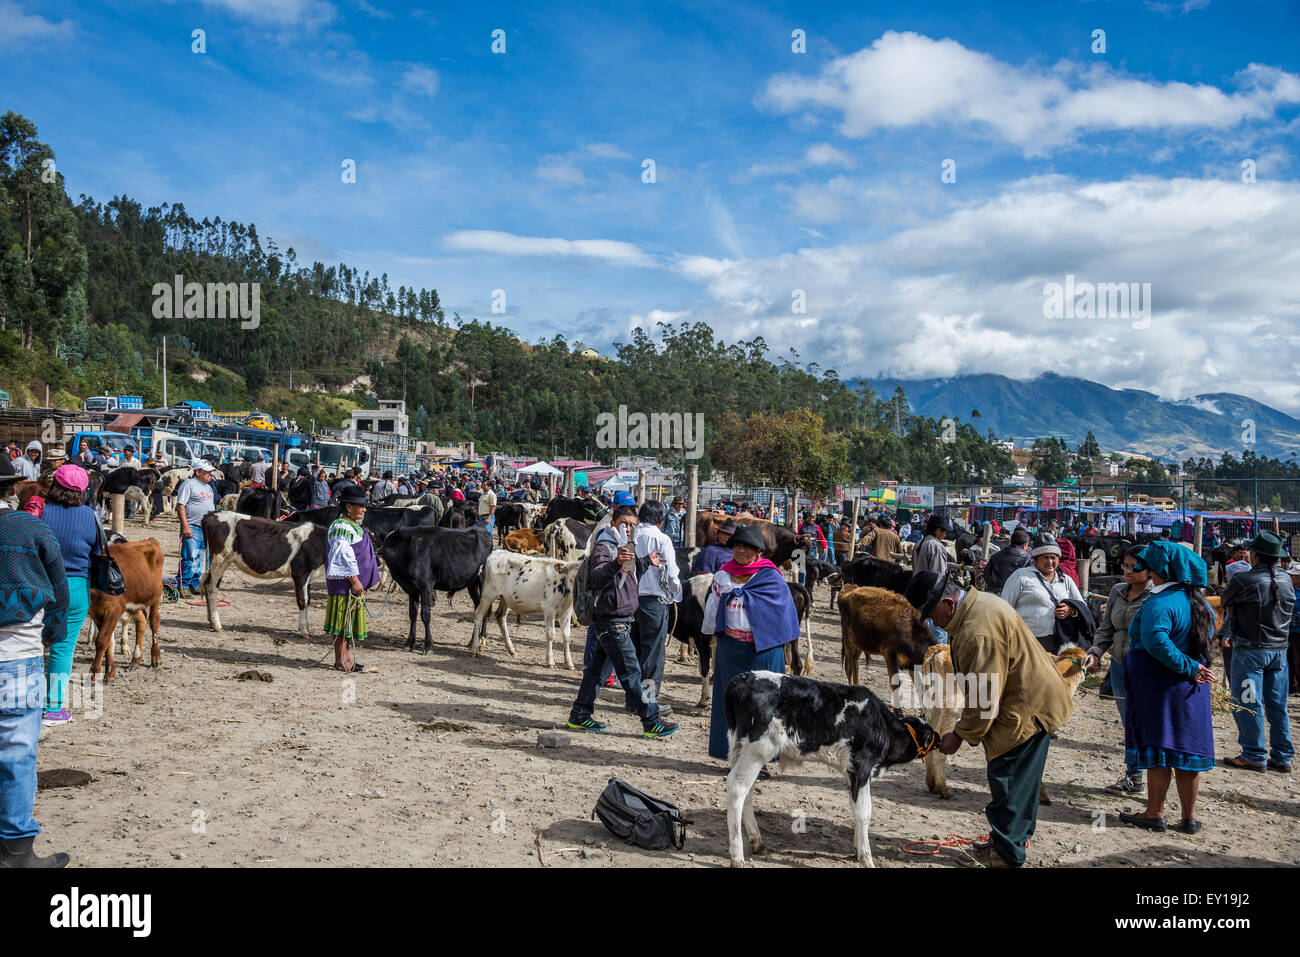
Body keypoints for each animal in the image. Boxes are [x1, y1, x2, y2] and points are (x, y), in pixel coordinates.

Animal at [87, 538, 163, 681]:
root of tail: (150, 540)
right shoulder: (96, 613)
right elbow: (108, 642)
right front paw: (110, 672)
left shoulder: (114, 610)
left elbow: (101, 641)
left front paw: (94, 674)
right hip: (135, 602)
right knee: (141, 622)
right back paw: (135, 660)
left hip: (156, 597)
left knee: (154, 622)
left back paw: (156, 657)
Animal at [201, 509, 330, 634]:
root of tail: (213, 513)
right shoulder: (300, 573)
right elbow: (302, 600)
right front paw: (304, 630)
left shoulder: (310, 576)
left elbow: (308, 600)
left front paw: (308, 629)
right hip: (219, 559)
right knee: (211, 587)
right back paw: (217, 625)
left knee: (207, 584)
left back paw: (211, 621)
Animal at [722, 670, 946, 868]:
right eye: (929, 733)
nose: (941, 738)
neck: (882, 726)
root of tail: (741, 680)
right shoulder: (861, 766)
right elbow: (864, 812)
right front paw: (866, 858)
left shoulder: (853, 773)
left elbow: (855, 808)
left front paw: (857, 849)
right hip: (757, 750)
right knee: (737, 790)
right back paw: (738, 857)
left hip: (740, 749)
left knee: (747, 790)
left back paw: (757, 842)